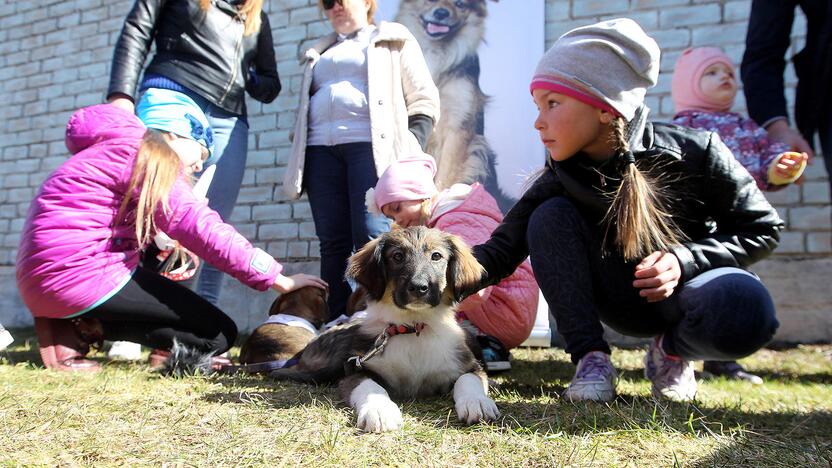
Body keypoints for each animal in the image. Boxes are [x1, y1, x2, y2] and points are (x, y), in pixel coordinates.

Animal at [270, 227, 498, 432]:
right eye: (397, 256)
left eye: (436, 256)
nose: (419, 287)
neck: (412, 328)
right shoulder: (355, 369)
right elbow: (371, 387)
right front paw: (379, 411)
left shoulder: (467, 365)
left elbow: (468, 380)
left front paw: (477, 402)